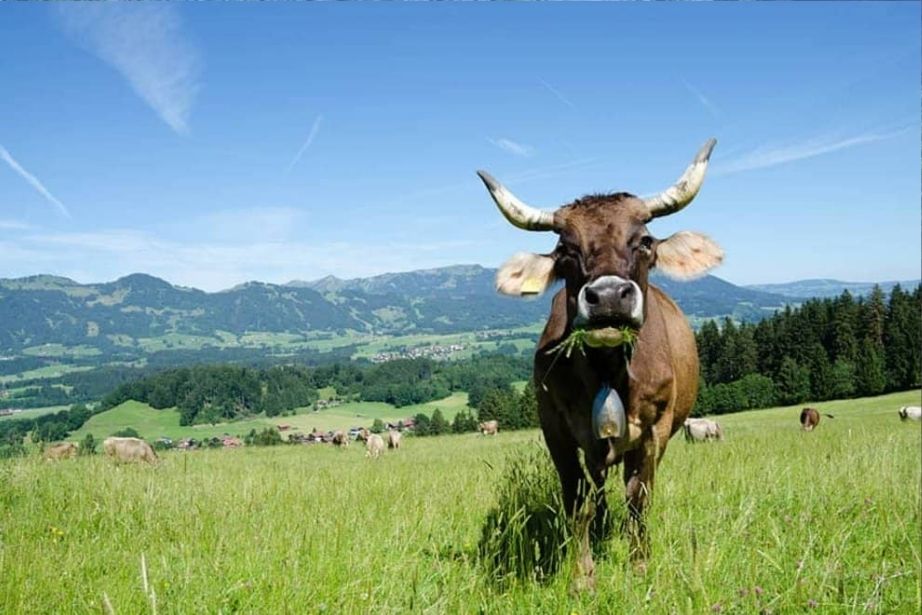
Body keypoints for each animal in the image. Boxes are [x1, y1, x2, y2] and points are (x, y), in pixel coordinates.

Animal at [478, 138, 723, 590]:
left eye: (644, 240)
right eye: (565, 250)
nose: (609, 296)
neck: (608, 372)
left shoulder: (655, 429)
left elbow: (639, 497)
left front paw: (639, 565)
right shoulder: (554, 426)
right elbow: (577, 500)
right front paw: (583, 576)